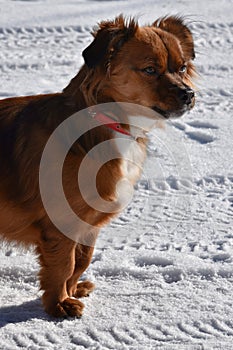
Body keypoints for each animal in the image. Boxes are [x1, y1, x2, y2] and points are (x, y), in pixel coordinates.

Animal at [0, 14, 196, 318]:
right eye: (150, 70)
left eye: (182, 67)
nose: (188, 94)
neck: (106, 121)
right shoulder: (61, 223)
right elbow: (64, 264)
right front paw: (59, 305)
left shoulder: (87, 223)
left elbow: (81, 260)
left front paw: (71, 291)